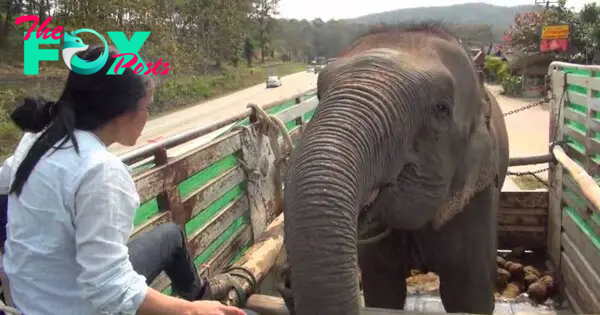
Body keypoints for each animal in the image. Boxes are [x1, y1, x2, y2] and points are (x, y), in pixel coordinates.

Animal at [278, 22, 508, 315]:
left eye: (441, 108)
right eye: (318, 95)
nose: (287, 286)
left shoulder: (475, 195)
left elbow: (468, 297)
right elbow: (383, 292)